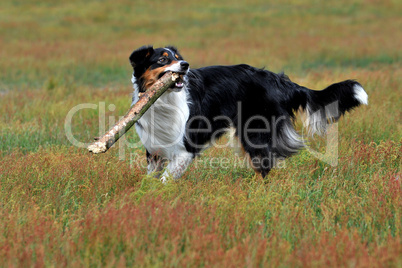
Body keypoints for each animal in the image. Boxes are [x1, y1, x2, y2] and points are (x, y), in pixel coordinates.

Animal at [129, 45, 368, 182]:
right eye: (162, 59)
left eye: (179, 57)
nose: (185, 65)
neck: (164, 100)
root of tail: (278, 79)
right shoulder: (154, 147)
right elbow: (152, 177)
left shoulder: (186, 147)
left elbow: (166, 178)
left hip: (254, 131)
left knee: (265, 165)